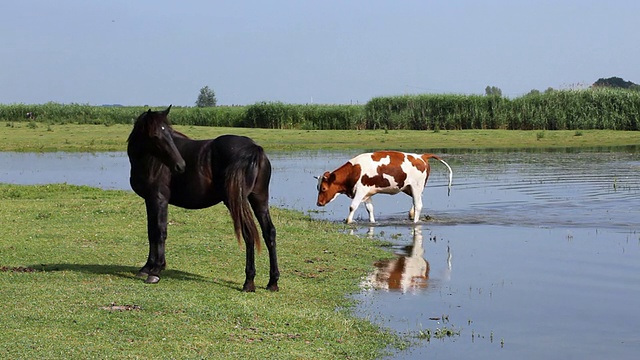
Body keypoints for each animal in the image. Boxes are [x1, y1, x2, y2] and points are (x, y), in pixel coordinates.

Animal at [126, 106, 278, 292]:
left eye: (168, 133)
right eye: (156, 135)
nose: (180, 165)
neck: (151, 162)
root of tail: (253, 148)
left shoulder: (158, 199)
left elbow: (159, 232)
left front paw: (155, 271)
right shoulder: (149, 200)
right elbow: (151, 231)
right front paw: (148, 267)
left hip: (237, 202)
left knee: (249, 234)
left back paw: (249, 282)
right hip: (259, 199)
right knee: (269, 233)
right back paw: (272, 282)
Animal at [316, 150, 450, 224]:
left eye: (323, 188)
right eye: (318, 187)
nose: (319, 203)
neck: (354, 171)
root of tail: (422, 156)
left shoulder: (361, 190)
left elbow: (352, 206)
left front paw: (348, 221)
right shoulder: (367, 193)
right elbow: (370, 209)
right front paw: (372, 221)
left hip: (416, 186)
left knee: (418, 205)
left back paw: (415, 221)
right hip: (409, 188)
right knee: (417, 201)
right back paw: (411, 214)